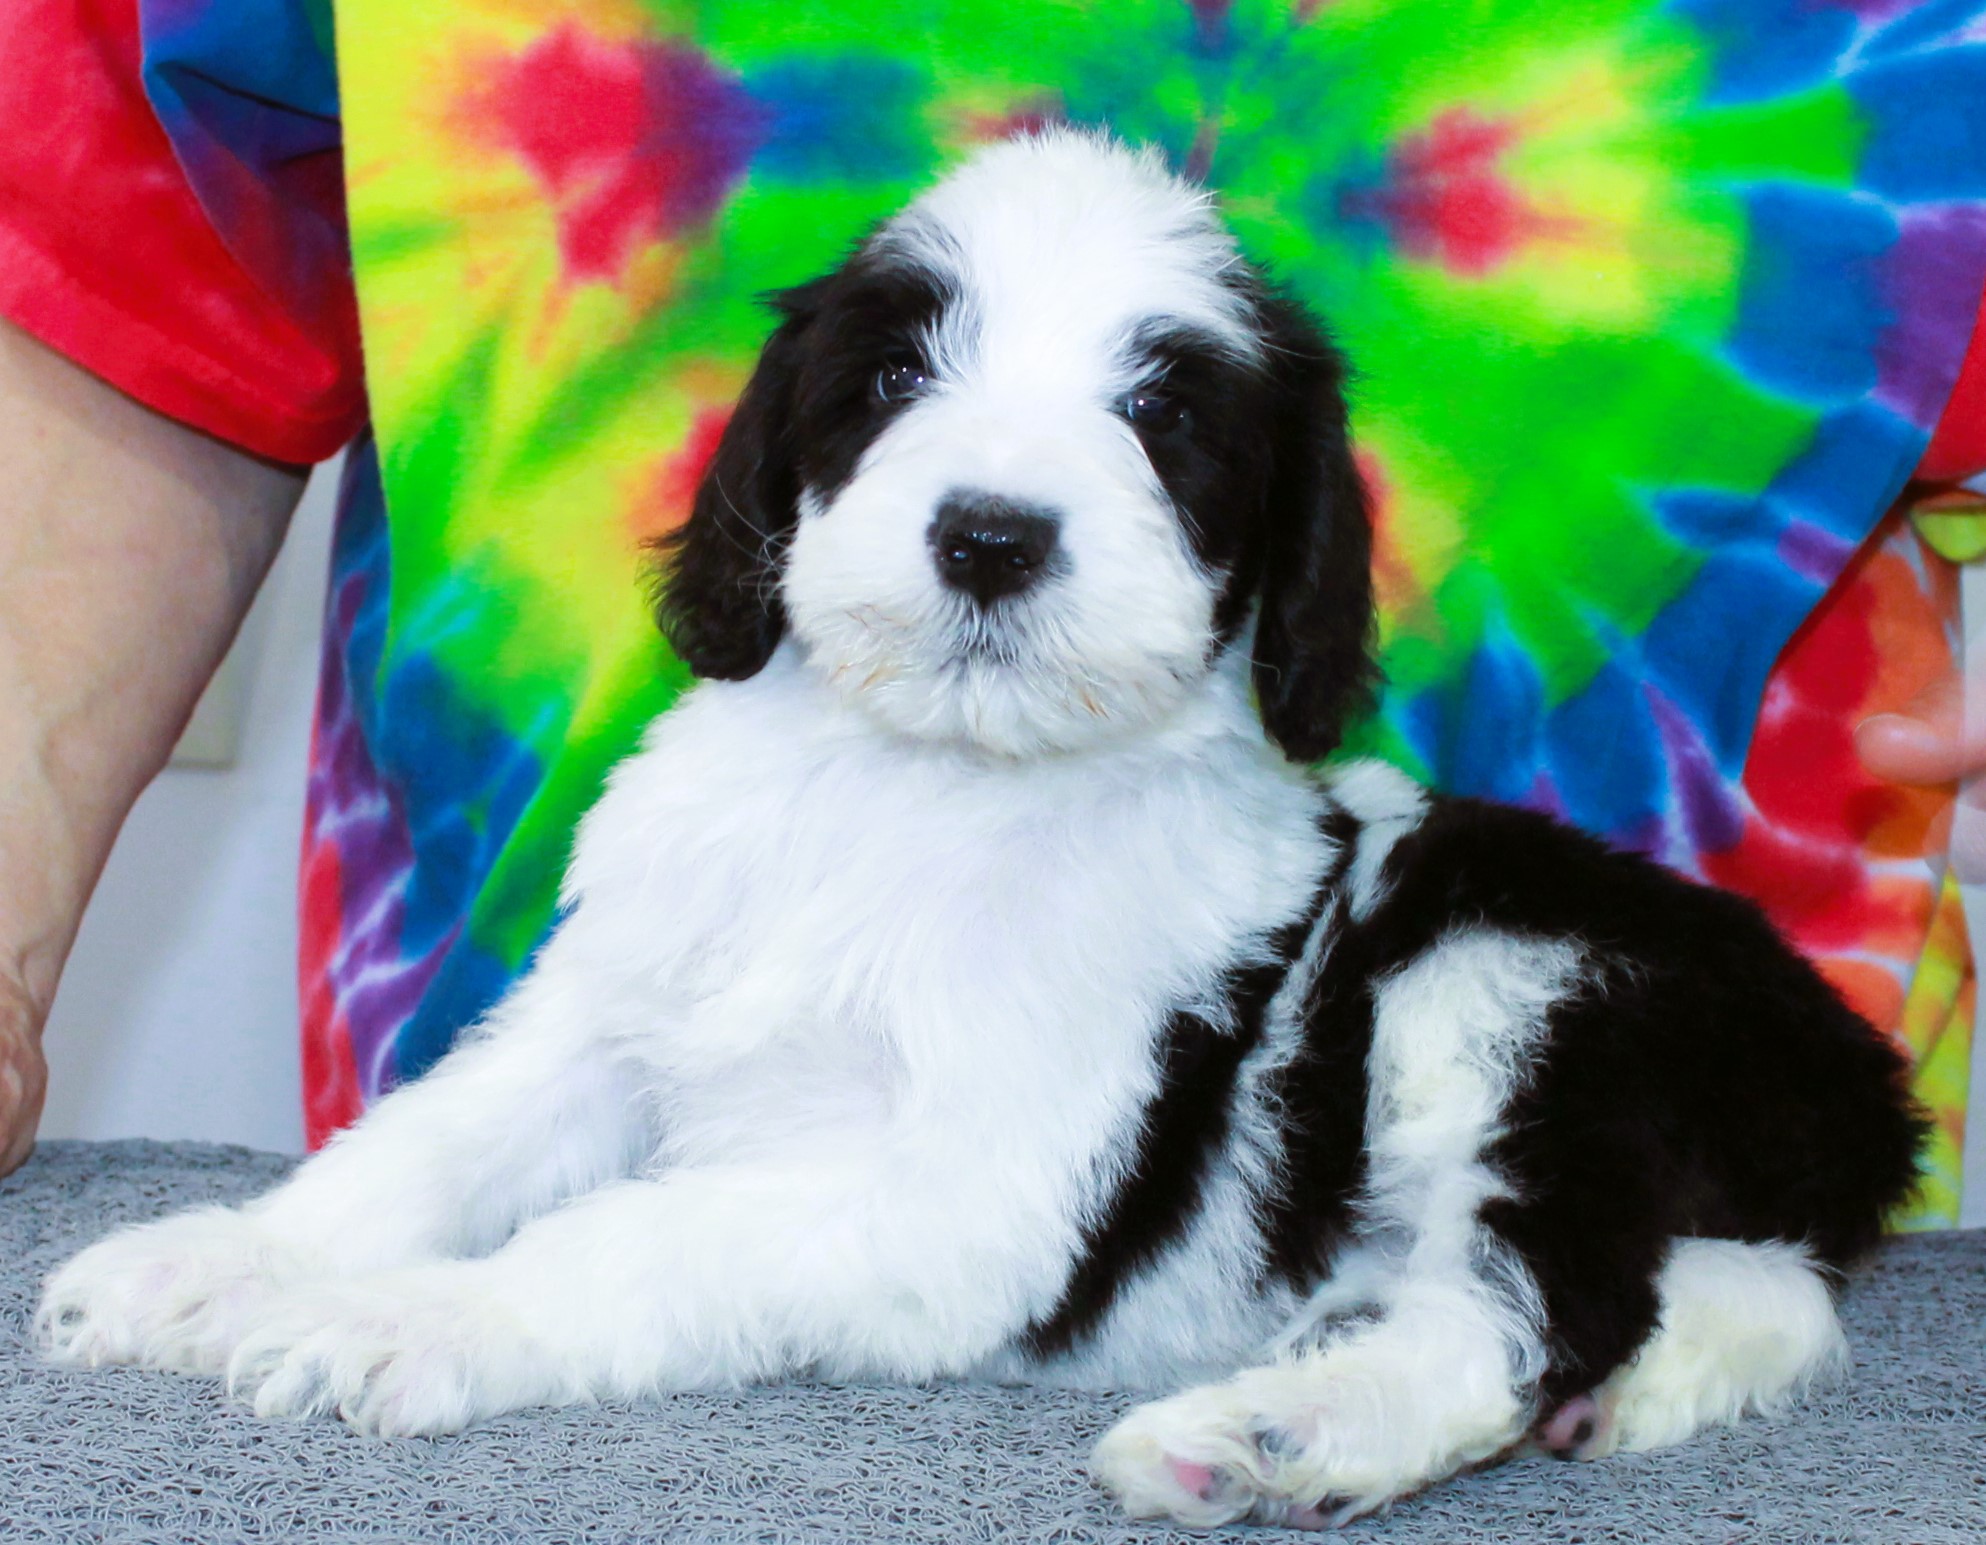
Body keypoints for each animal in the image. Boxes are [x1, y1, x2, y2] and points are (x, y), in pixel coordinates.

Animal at [40, 130, 1924, 1530]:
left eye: (1161, 417)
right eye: (890, 376)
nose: (993, 535)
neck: (918, 787)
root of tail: (1858, 1087)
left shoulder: (964, 1189)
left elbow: (624, 1233)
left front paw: (403, 1317)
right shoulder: (611, 1025)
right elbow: (426, 1147)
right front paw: (220, 1266)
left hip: (1513, 977)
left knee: (1538, 1309)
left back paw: (1275, 1439)